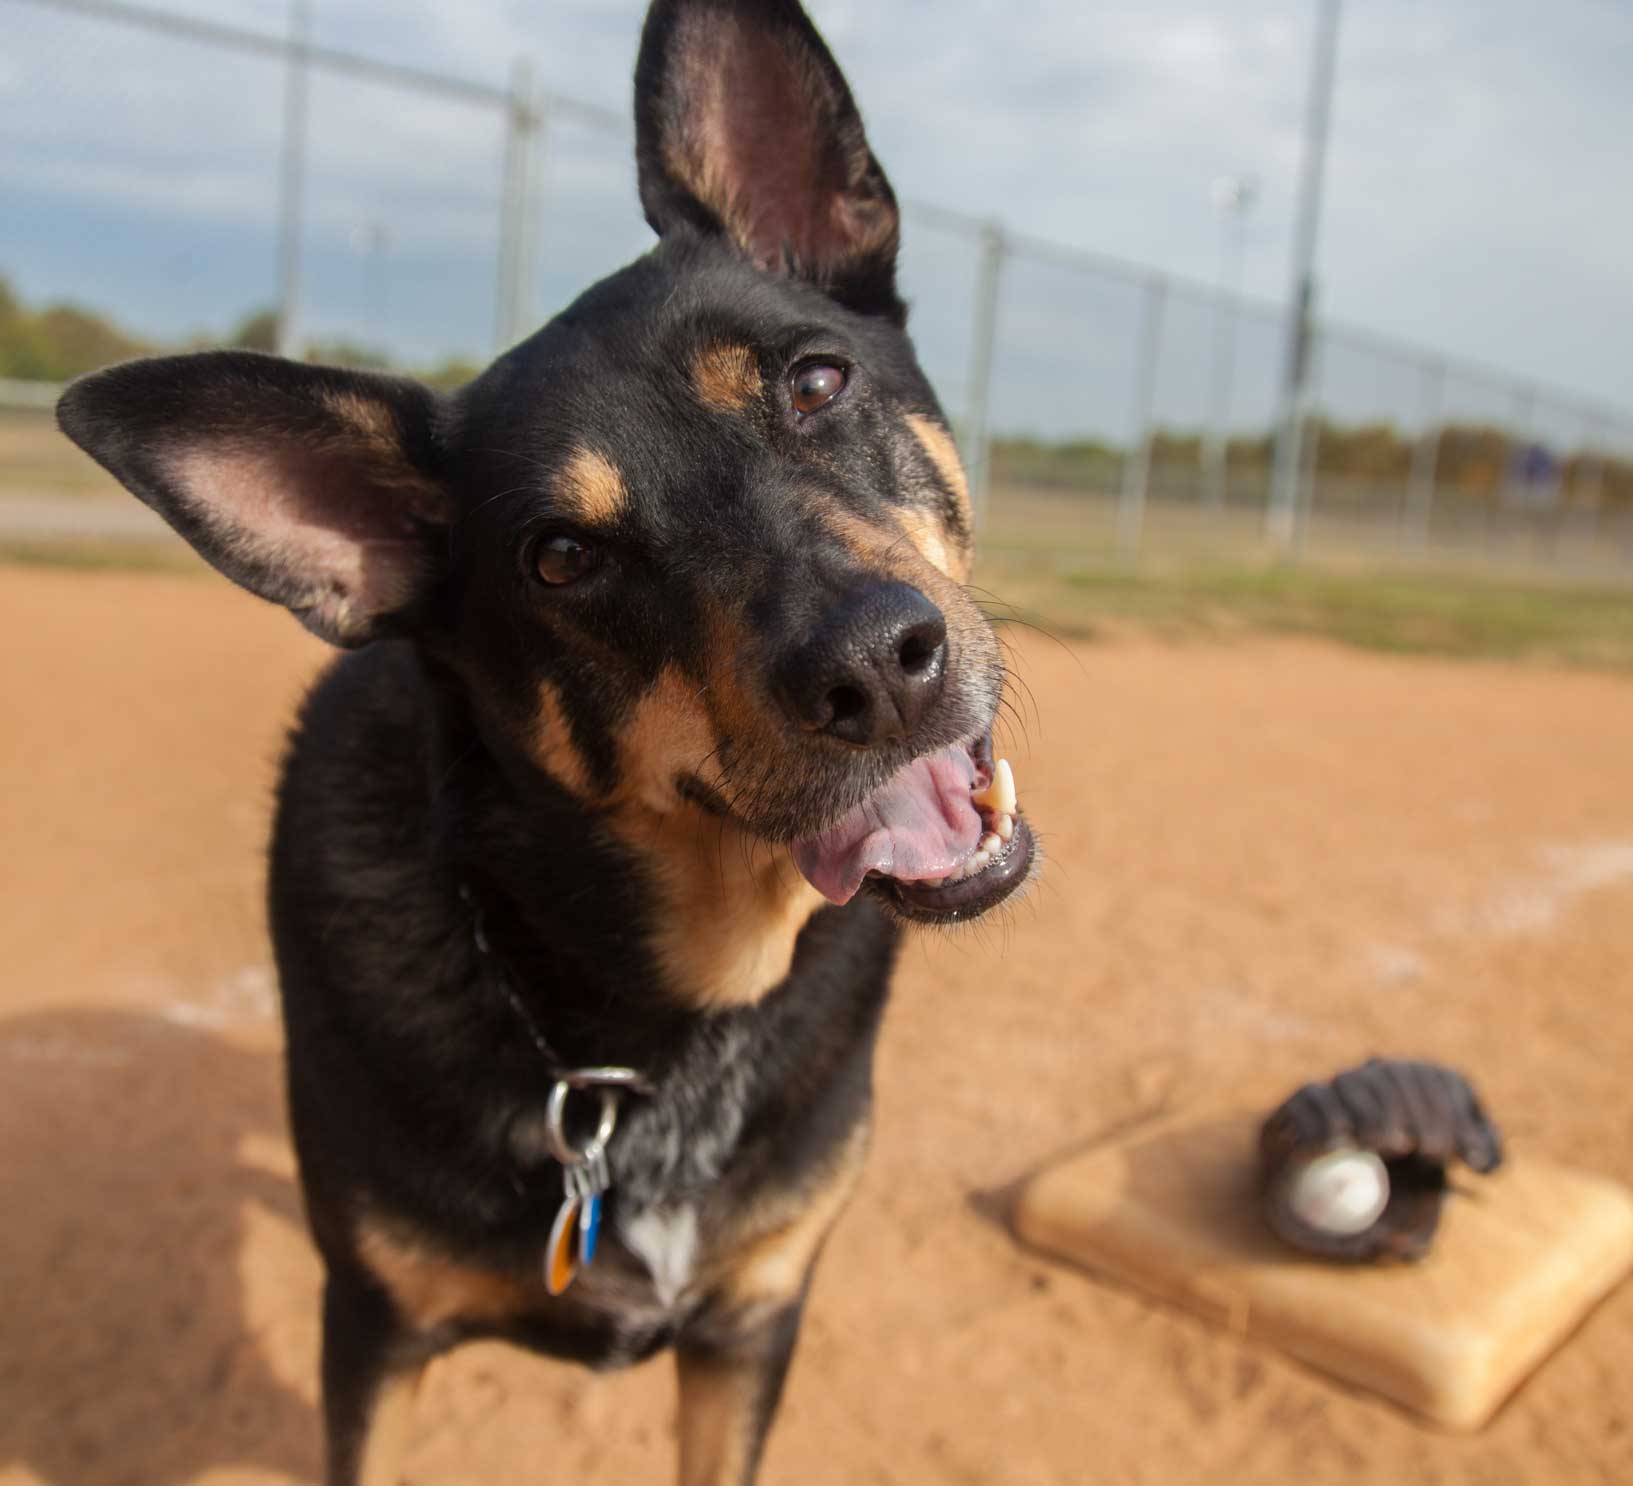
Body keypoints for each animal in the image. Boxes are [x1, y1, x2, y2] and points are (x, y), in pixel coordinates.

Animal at [57, 5, 1032, 1482]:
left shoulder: (752, 1320)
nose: (874, 665)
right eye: (563, 558)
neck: (647, 1043)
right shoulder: (376, 1332)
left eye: (816, 380)